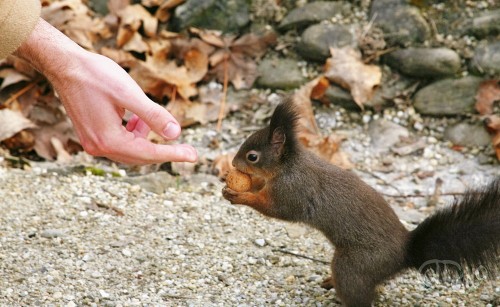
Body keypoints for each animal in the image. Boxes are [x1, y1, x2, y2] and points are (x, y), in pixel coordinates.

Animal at [223, 99, 500, 307]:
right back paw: (330, 282)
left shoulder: (293, 191)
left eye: (252, 156)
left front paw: (240, 196)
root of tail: (405, 253)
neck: (289, 166)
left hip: (354, 266)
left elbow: (275, 209)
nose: (234, 163)